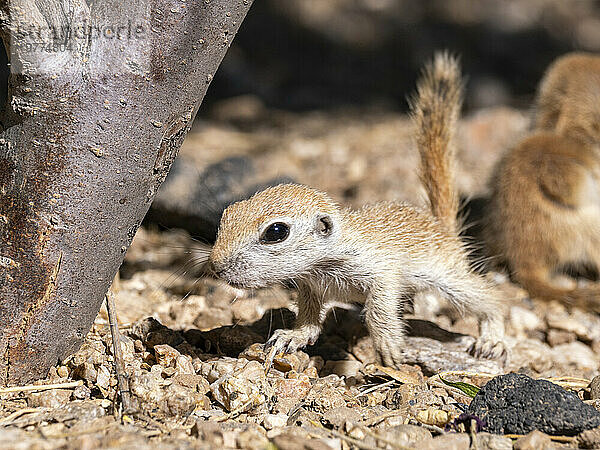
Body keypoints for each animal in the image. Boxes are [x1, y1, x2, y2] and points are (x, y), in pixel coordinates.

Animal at [210, 54, 506, 368]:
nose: (215, 266)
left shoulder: (381, 271)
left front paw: (388, 346)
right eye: (228, 213)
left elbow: (379, 307)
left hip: (448, 275)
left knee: (490, 297)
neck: (322, 264)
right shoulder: (309, 285)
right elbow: (309, 318)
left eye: (276, 231)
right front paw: (292, 336)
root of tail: (440, 224)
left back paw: (492, 338)